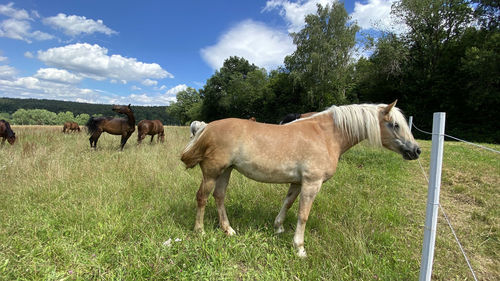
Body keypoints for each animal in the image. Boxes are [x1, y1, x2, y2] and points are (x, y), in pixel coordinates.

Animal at [182, 100, 420, 256]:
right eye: (395, 125)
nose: (416, 151)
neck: (326, 135)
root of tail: (206, 127)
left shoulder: (297, 182)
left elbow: (287, 204)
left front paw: (278, 228)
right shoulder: (312, 183)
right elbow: (303, 215)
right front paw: (299, 248)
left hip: (226, 170)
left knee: (219, 197)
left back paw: (228, 229)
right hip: (212, 172)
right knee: (202, 197)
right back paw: (200, 231)